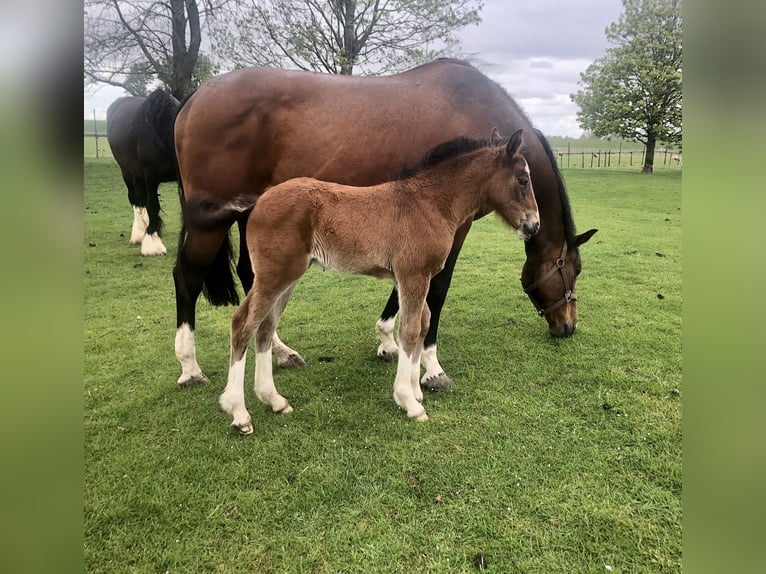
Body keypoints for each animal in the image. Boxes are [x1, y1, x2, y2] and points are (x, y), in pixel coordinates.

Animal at [106, 88, 180, 256]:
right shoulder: (150, 176)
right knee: (136, 199)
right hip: (128, 172)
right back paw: (140, 232)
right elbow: (153, 205)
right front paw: (152, 243)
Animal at [173, 59, 598, 390]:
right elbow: (436, 292)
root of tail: (192, 99)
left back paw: (280, 351)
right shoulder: (453, 231)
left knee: (254, 279)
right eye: (573, 269)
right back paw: (190, 367)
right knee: (188, 277)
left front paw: (387, 339)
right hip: (213, 226)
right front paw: (430, 366)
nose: (569, 326)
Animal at [183, 129, 540, 432]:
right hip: (273, 275)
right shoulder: (413, 275)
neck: (431, 203)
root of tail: (258, 202)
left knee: (265, 328)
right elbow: (410, 331)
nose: (534, 225)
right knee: (243, 324)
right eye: (523, 179)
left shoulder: (415, 277)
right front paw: (409, 402)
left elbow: (423, 323)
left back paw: (274, 400)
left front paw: (416, 390)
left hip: (287, 278)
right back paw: (238, 412)